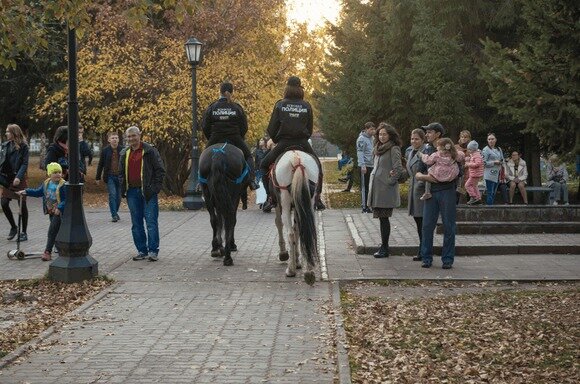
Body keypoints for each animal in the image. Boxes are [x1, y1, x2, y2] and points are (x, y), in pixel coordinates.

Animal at [270, 150, 320, 284]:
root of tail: (297, 159)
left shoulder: (278, 205)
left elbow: (279, 224)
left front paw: (284, 255)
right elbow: (298, 230)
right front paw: (298, 261)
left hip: (285, 202)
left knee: (290, 234)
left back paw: (290, 270)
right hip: (309, 202)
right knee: (306, 230)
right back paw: (309, 271)